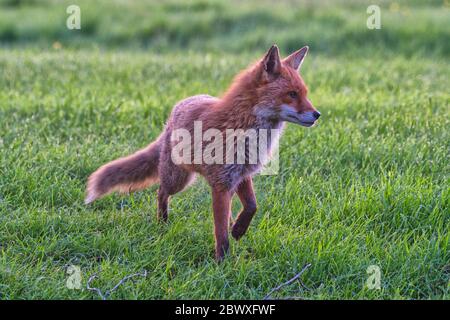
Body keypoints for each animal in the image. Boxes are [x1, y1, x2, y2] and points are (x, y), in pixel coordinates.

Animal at [85, 44, 320, 260]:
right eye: (292, 94)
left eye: (305, 94)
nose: (317, 114)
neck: (241, 127)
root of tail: (174, 113)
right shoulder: (221, 184)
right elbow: (221, 234)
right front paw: (222, 264)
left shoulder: (240, 176)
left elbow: (251, 206)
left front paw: (238, 229)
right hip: (178, 179)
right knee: (160, 192)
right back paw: (162, 223)